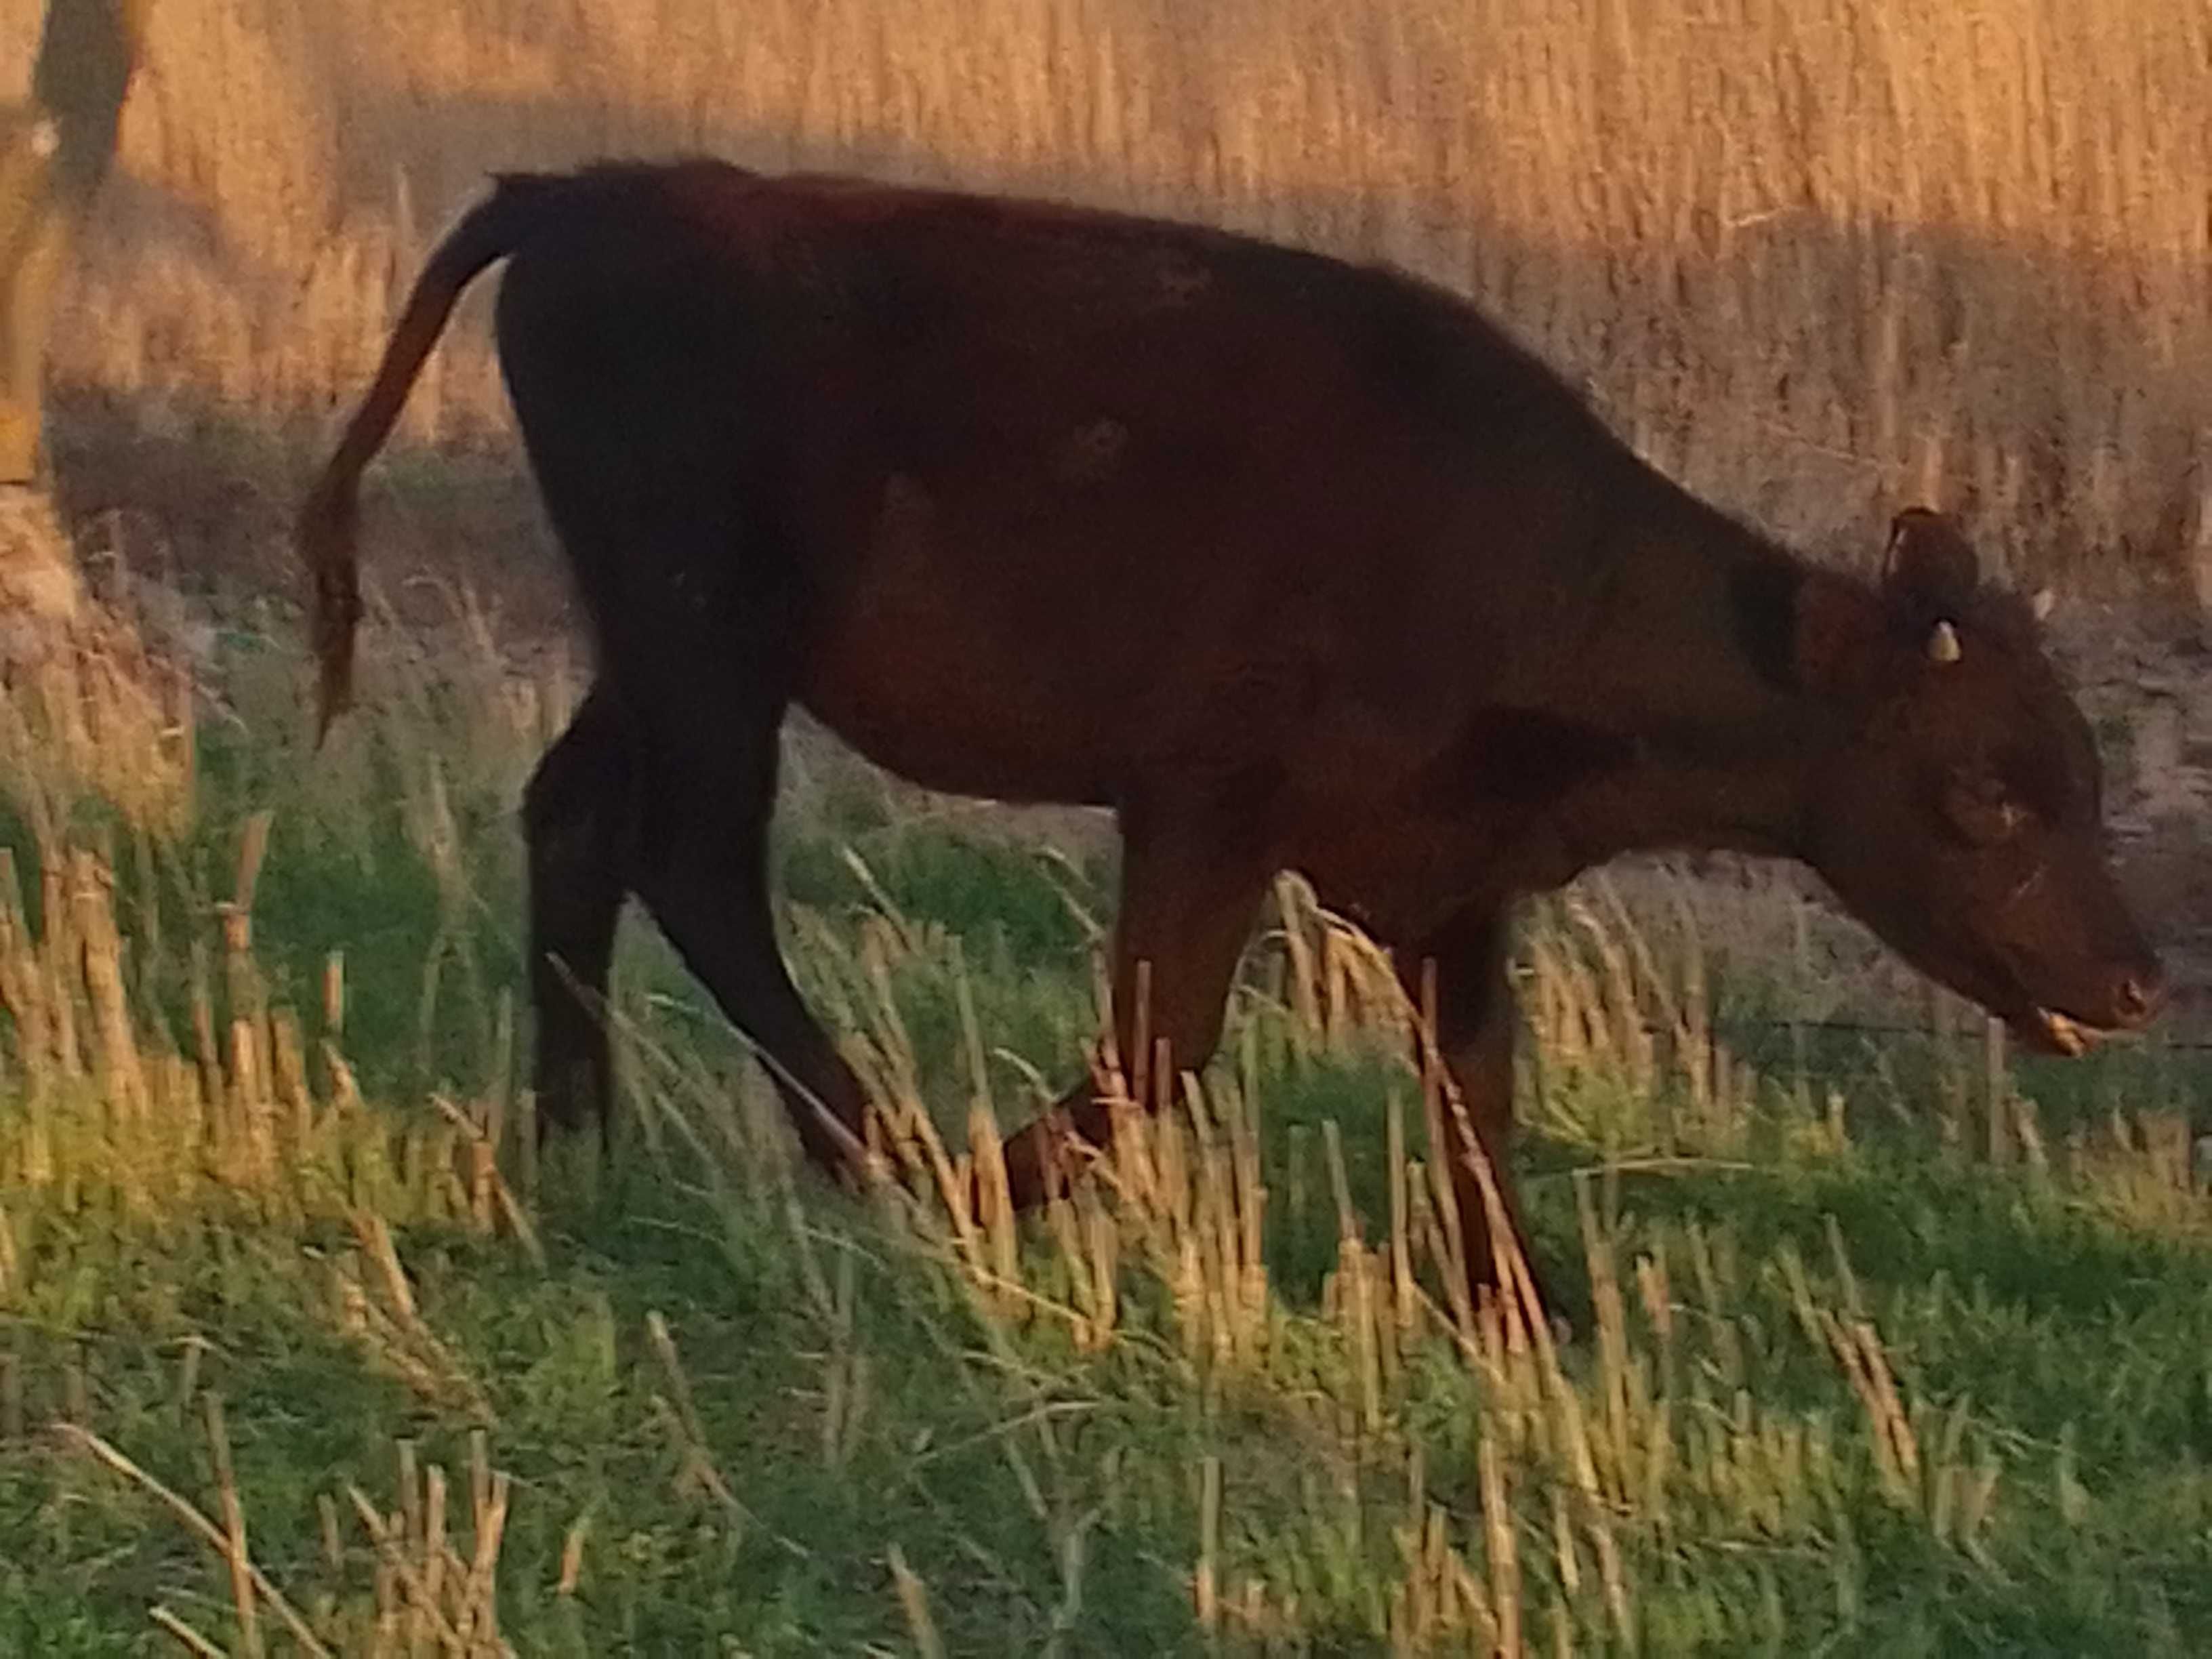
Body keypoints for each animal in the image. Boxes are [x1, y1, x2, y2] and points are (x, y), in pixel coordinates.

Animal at [294, 156, 2158, 1300]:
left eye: (2079, 774)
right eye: (1988, 791)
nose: (2139, 978)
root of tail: (590, 193)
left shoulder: (1450, 876)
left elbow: (1479, 1080)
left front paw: (1523, 1307)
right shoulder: (1202, 809)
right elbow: (1159, 1048)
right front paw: (991, 1194)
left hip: (654, 649)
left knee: (577, 822)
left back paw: (578, 1140)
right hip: (706, 642)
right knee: (696, 860)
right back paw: (872, 1150)